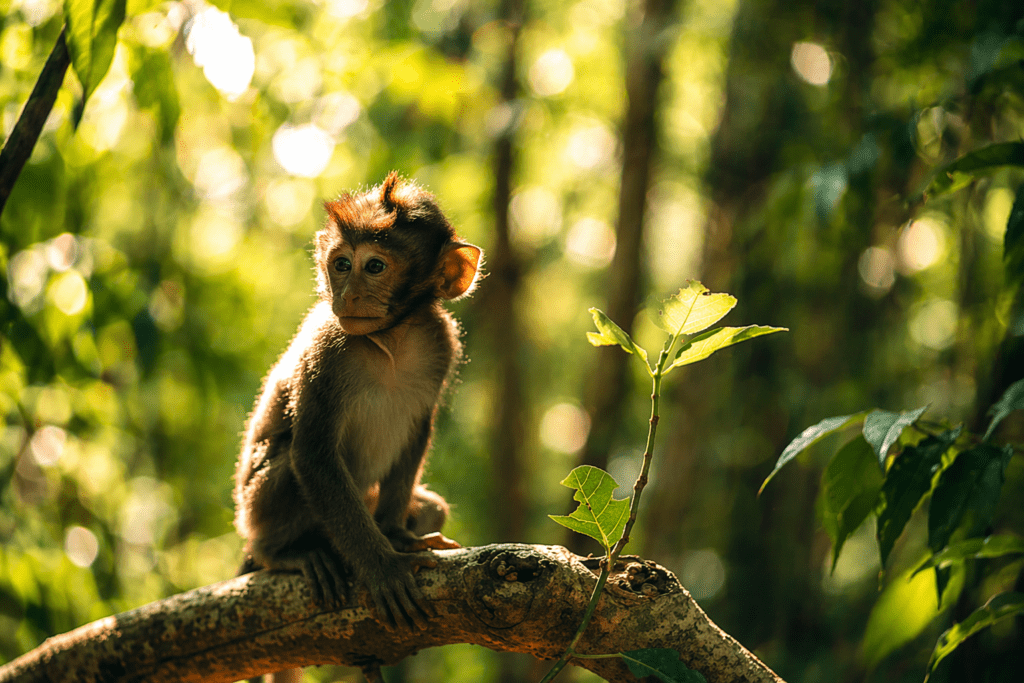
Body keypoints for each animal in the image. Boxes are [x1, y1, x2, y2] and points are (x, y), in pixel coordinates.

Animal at [233, 172, 482, 634]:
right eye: (342, 264)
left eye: (375, 266)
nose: (346, 295)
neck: (391, 340)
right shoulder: (327, 351)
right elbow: (313, 456)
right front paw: (382, 567)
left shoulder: (441, 344)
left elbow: (416, 433)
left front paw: (396, 535)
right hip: (258, 510)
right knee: (287, 468)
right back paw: (284, 553)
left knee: (432, 506)